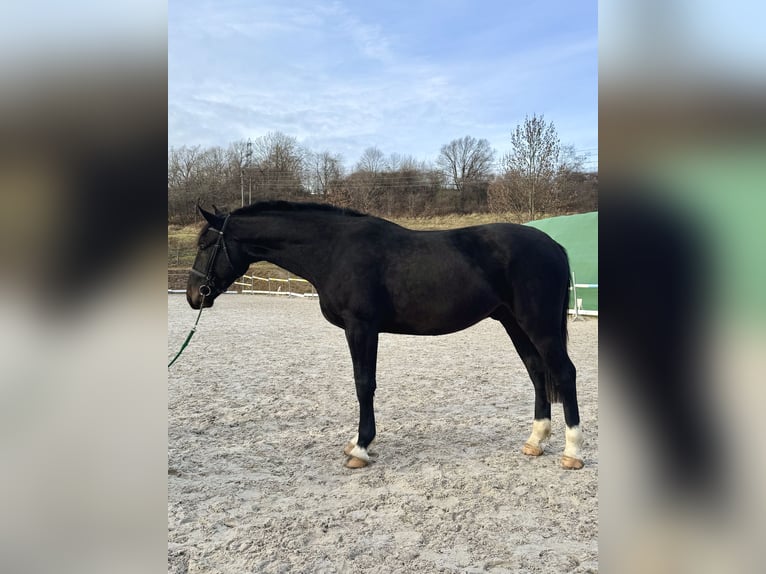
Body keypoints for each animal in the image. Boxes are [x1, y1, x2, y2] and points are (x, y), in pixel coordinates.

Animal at [187, 201, 584, 470]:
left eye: (205, 245)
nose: (194, 296)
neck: (334, 249)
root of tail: (554, 245)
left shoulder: (361, 326)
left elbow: (364, 383)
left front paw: (361, 448)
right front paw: (357, 443)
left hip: (538, 324)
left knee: (564, 373)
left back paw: (572, 451)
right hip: (513, 322)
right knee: (537, 371)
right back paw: (535, 441)